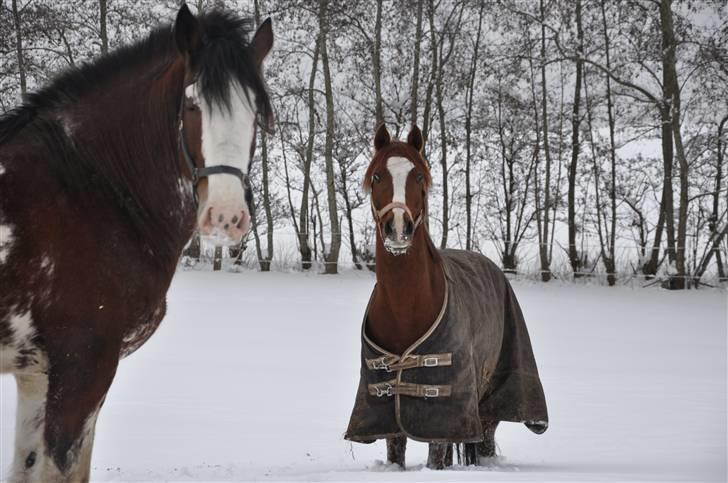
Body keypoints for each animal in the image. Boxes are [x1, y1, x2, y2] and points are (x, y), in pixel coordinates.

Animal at [0, 5, 273, 481]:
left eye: (255, 112)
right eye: (192, 104)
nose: (225, 217)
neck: (90, 188)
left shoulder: (36, 373)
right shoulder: (83, 366)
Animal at [345, 124, 549, 469]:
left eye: (417, 176)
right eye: (377, 176)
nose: (397, 228)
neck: (404, 308)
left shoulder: (446, 411)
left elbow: (436, 455)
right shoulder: (386, 410)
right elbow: (395, 452)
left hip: (489, 402)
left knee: (486, 440)